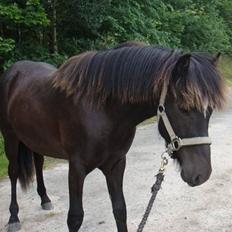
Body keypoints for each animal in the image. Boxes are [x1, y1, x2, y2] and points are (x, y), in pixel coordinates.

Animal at [0, 44, 225, 232]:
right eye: (184, 108)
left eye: (210, 110)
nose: (201, 174)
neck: (102, 109)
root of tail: (13, 71)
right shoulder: (76, 168)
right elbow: (75, 218)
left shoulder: (116, 164)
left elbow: (120, 210)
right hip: (10, 137)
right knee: (13, 173)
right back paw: (13, 218)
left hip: (35, 140)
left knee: (38, 164)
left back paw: (45, 198)